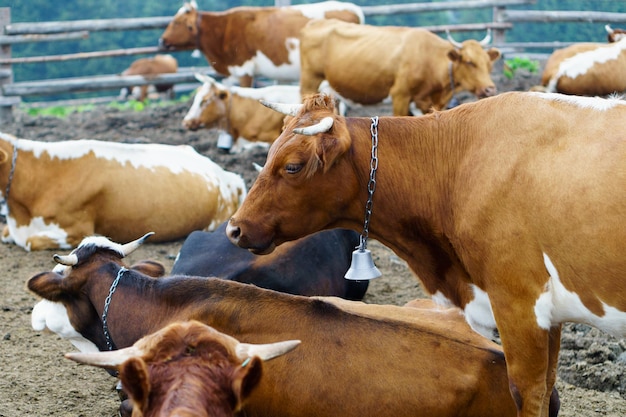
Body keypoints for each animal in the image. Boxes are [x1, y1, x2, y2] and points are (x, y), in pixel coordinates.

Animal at [225, 93, 624, 416]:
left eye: (292, 166)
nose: (234, 228)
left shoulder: (518, 302)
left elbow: (528, 391)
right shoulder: (549, 315)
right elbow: (548, 382)